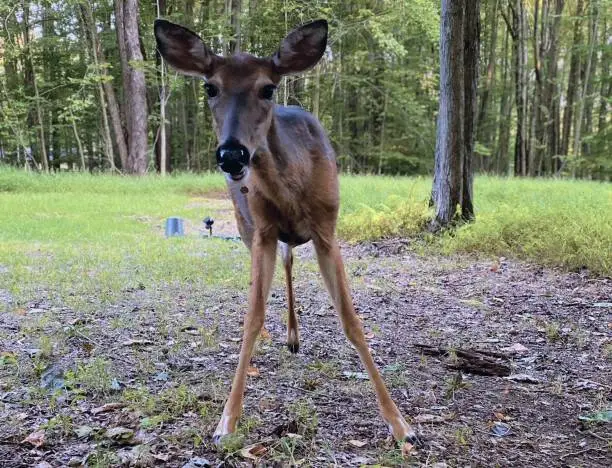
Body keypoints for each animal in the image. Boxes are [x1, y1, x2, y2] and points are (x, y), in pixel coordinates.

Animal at [153, 18, 420, 450]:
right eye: (210, 87)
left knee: (290, 259)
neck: (292, 185)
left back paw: (295, 336)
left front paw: (400, 423)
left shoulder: (328, 230)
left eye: (268, 88)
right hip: (245, 226)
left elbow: (351, 320)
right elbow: (252, 316)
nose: (232, 155)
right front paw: (227, 420)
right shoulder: (262, 230)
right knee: (281, 263)